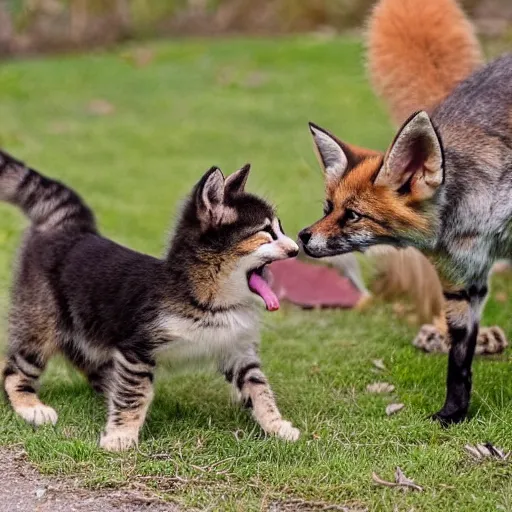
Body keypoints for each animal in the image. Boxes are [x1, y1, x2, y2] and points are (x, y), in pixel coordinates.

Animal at [0, 150, 300, 450]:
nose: (296, 248)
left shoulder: (237, 351)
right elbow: (133, 395)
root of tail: (69, 227)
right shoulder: (137, 350)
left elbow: (259, 389)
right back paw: (30, 406)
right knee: (14, 368)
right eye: (266, 233)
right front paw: (121, 436)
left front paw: (276, 426)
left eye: (281, 229)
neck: (207, 301)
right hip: (40, 320)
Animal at [298, 0, 510, 424]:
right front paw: (452, 415)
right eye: (329, 208)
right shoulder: (462, 284)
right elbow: (458, 364)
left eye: (354, 215)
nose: (302, 237)